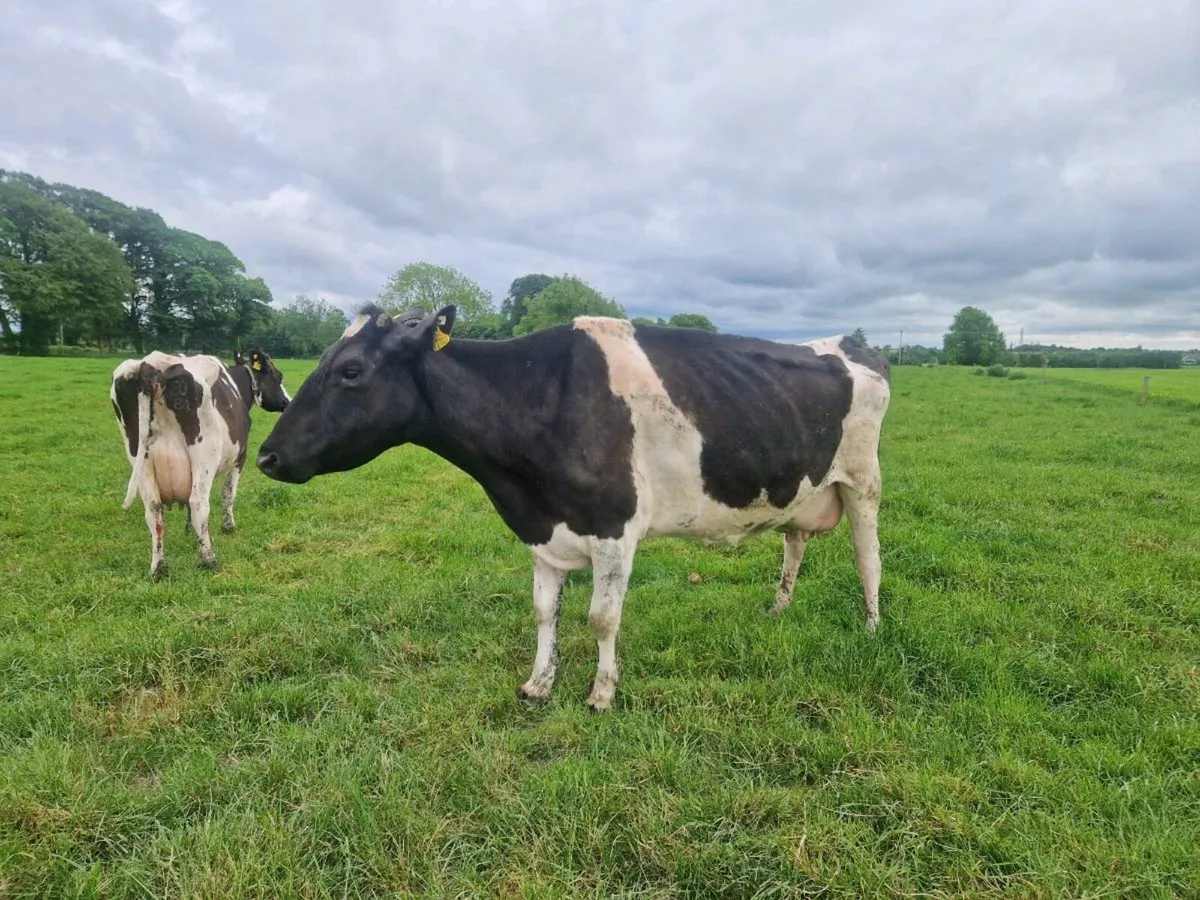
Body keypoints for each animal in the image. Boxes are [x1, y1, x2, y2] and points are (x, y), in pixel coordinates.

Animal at [111, 348, 290, 579]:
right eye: (279, 376)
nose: (288, 402)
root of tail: (150, 365)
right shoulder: (240, 457)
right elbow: (228, 494)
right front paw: (228, 526)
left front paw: (189, 531)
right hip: (203, 453)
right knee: (198, 502)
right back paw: (208, 559)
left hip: (139, 457)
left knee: (153, 509)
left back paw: (159, 568)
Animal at [256, 305, 891, 710]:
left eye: (351, 370)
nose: (266, 455)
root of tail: (850, 343)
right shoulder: (542, 530)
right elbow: (544, 613)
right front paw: (538, 684)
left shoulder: (614, 526)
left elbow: (601, 618)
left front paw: (602, 694)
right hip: (801, 490)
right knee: (795, 543)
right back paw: (778, 610)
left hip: (864, 481)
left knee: (869, 559)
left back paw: (871, 627)